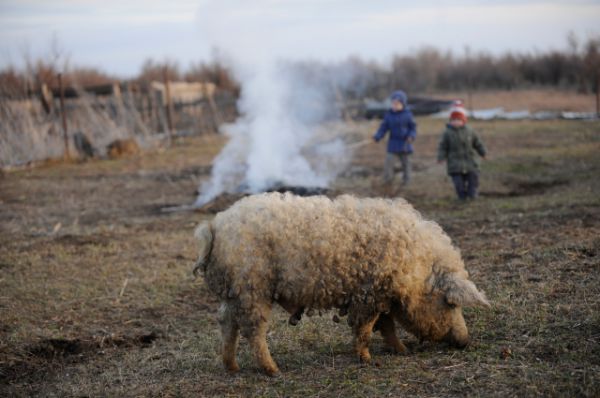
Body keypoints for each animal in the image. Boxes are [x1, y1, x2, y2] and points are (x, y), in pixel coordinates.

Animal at [195, 193, 490, 376]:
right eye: (451, 303)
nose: (465, 341)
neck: (416, 270)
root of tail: (214, 226)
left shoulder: (381, 295)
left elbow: (386, 325)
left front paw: (402, 351)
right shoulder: (369, 294)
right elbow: (366, 328)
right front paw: (368, 360)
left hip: (233, 292)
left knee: (227, 323)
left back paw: (232, 367)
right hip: (251, 288)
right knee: (253, 331)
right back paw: (273, 371)